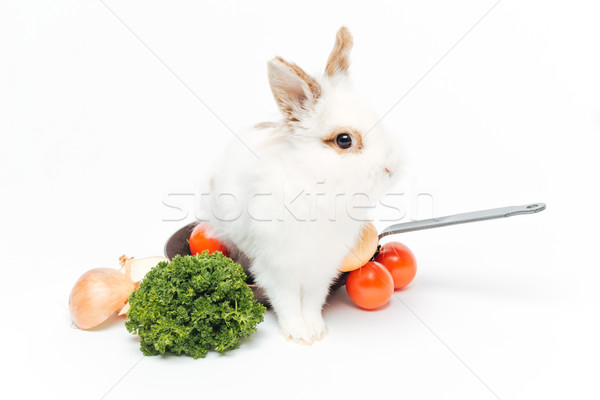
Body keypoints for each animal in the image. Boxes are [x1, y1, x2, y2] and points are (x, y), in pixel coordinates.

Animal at [205, 26, 398, 344]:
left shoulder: (321, 269)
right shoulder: (277, 267)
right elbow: (287, 303)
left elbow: (311, 302)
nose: (392, 167)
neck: (317, 185)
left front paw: (317, 331)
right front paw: (299, 334)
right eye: (344, 140)